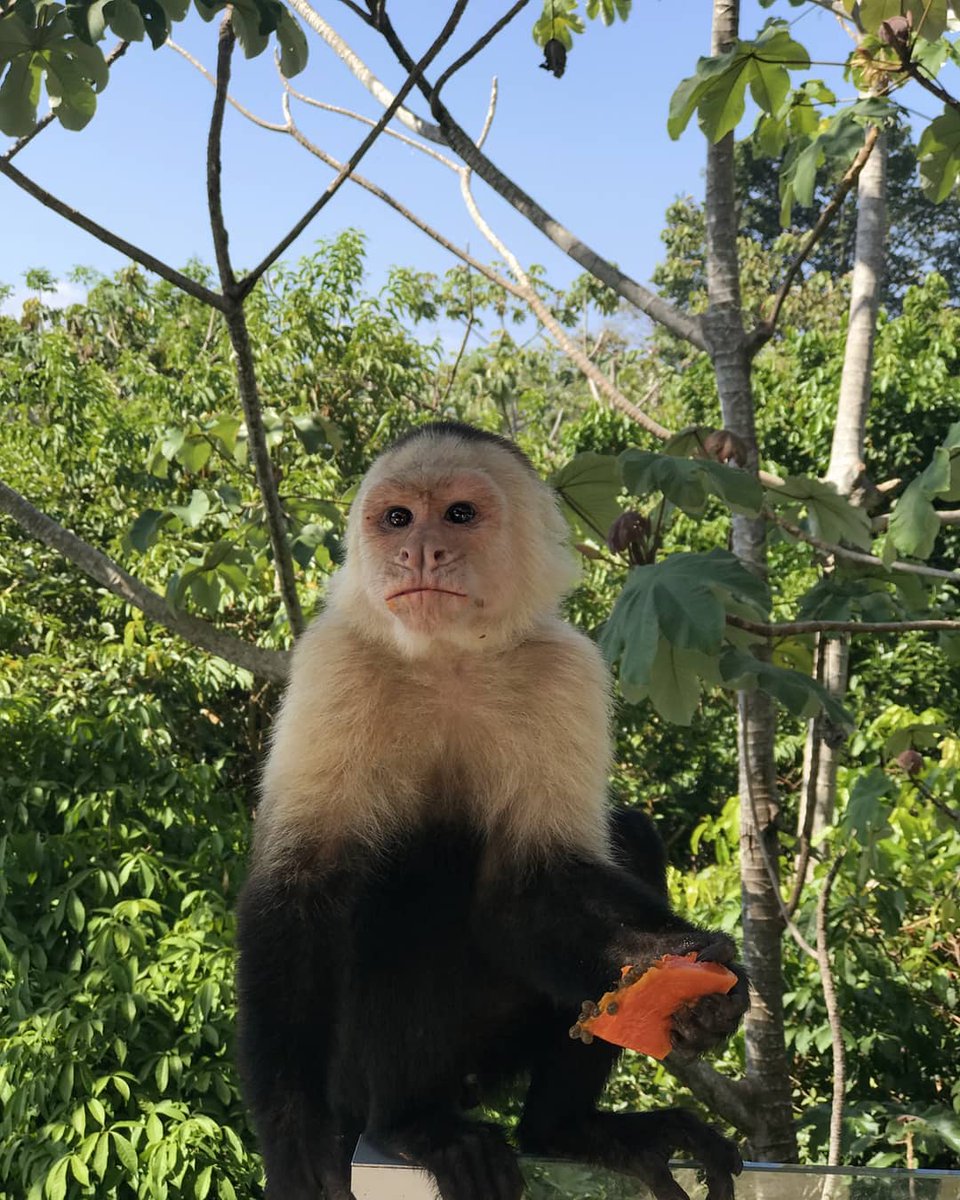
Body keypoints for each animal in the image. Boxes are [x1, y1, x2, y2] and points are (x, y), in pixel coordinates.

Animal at [235, 421, 750, 1200]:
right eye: (397, 519)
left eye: (458, 515)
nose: (419, 551)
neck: (449, 656)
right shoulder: (334, 661)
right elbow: (302, 887)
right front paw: (294, 1137)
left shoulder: (567, 668)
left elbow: (528, 887)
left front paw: (684, 980)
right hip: (360, 1074)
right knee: (413, 877)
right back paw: (415, 1125)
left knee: (624, 838)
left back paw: (567, 1130)